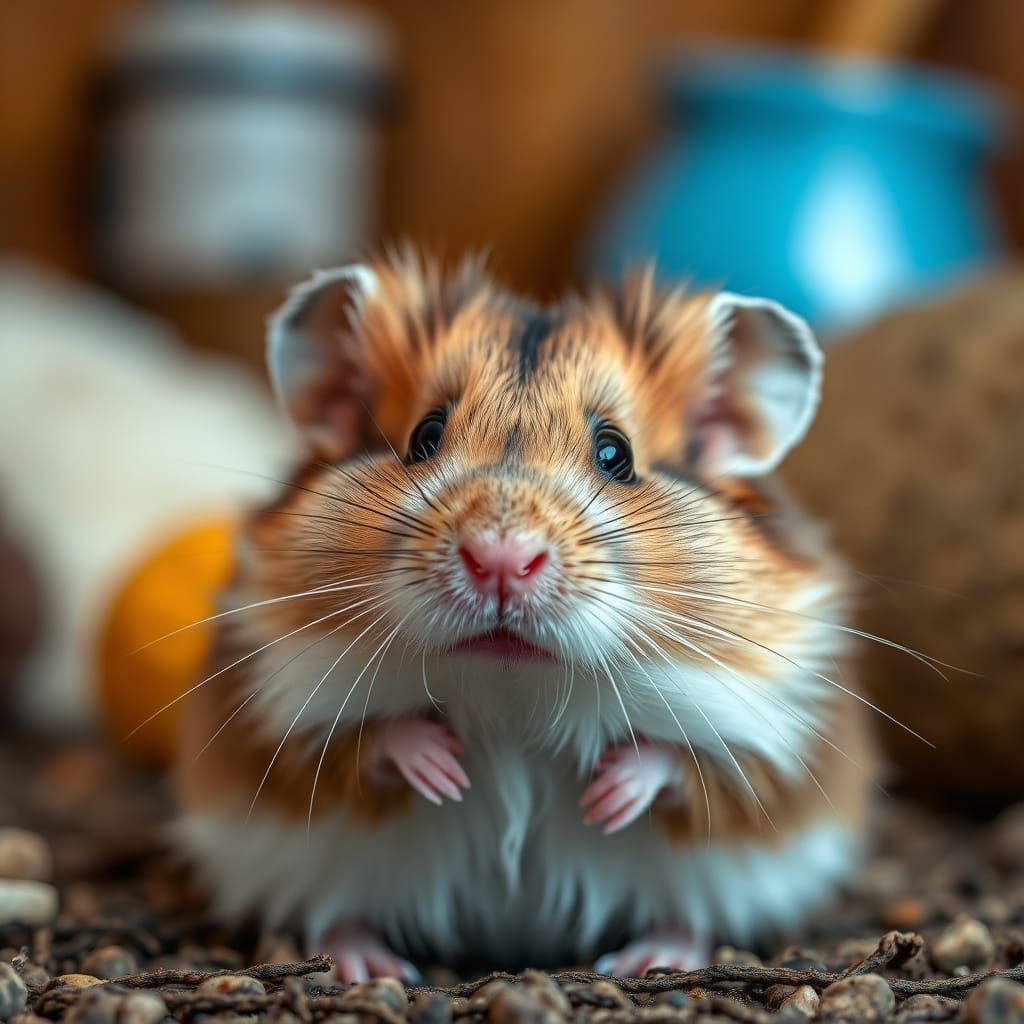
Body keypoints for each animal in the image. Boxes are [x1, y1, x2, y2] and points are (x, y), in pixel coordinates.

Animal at [174, 250, 874, 981]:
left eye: (616, 454)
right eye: (424, 435)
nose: (502, 560)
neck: (515, 689)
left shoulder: (776, 744)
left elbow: (686, 764)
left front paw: (607, 797)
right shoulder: (270, 721)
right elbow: (362, 743)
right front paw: (446, 771)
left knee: (688, 917)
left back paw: (648, 960)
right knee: (336, 914)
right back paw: (369, 966)